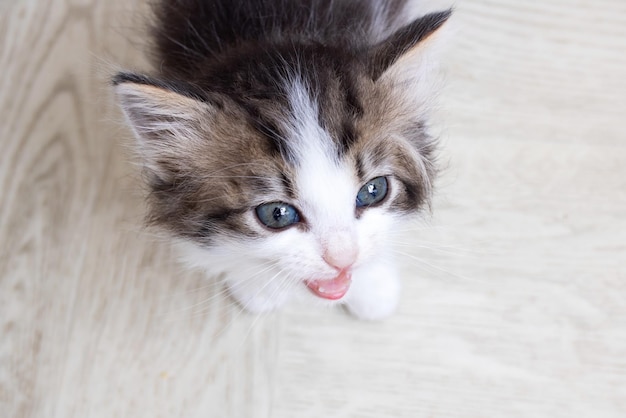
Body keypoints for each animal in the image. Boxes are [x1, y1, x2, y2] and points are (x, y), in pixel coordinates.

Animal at [113, 0, 448, 320]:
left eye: (373, 191)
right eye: (277, 214)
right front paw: (257, 285)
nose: (343, 259)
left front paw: (373, 285)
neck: (277, 31)